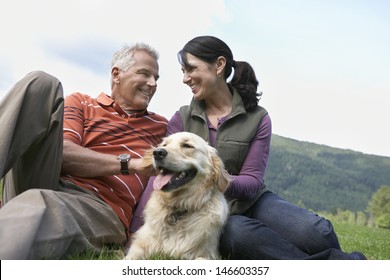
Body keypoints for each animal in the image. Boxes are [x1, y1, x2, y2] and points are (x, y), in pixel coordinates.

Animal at [125, 132, 230, 260]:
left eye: (187, 145)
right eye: (164, 144)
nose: (157, 152)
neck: (178, 208)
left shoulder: (207, 254)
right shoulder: (142, 242)